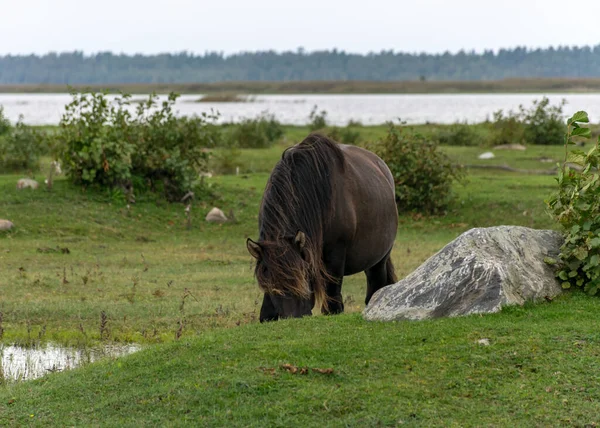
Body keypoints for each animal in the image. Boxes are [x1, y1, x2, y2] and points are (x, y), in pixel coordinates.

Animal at [246, 134, 400, 320]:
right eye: (267, 279)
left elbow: (332, 288)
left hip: (379, 259)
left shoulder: (335, 253)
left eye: (303, 274)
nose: (293, 317)